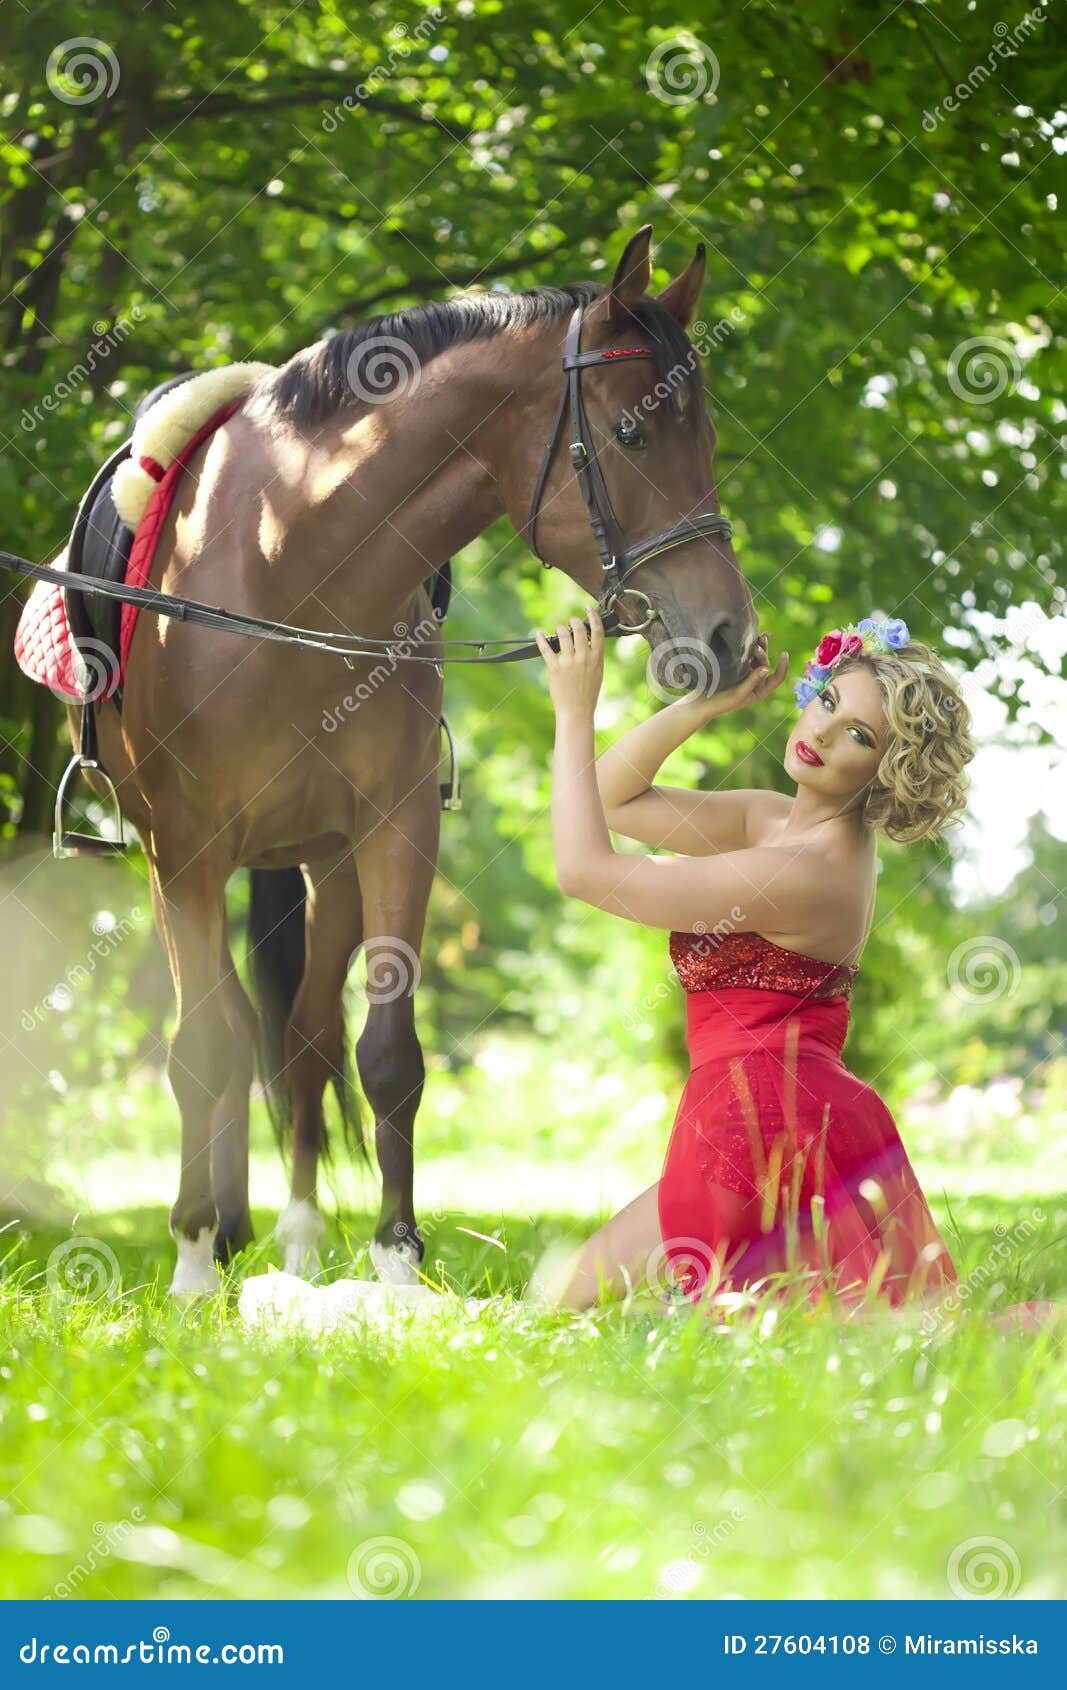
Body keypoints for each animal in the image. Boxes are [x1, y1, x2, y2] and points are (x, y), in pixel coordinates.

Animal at [69, 224, 758, 1296]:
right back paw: (218, 1238)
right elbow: (199, 1049)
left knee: (303, 1039)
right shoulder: (181, 852)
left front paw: (395, 1270)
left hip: (322, 864)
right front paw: (188, 1268)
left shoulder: (395, 830)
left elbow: (386, 1054)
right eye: (633, 434)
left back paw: (294, 1241)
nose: (729, 636)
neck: (287, 569)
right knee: (230, 1028)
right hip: (191, 865)